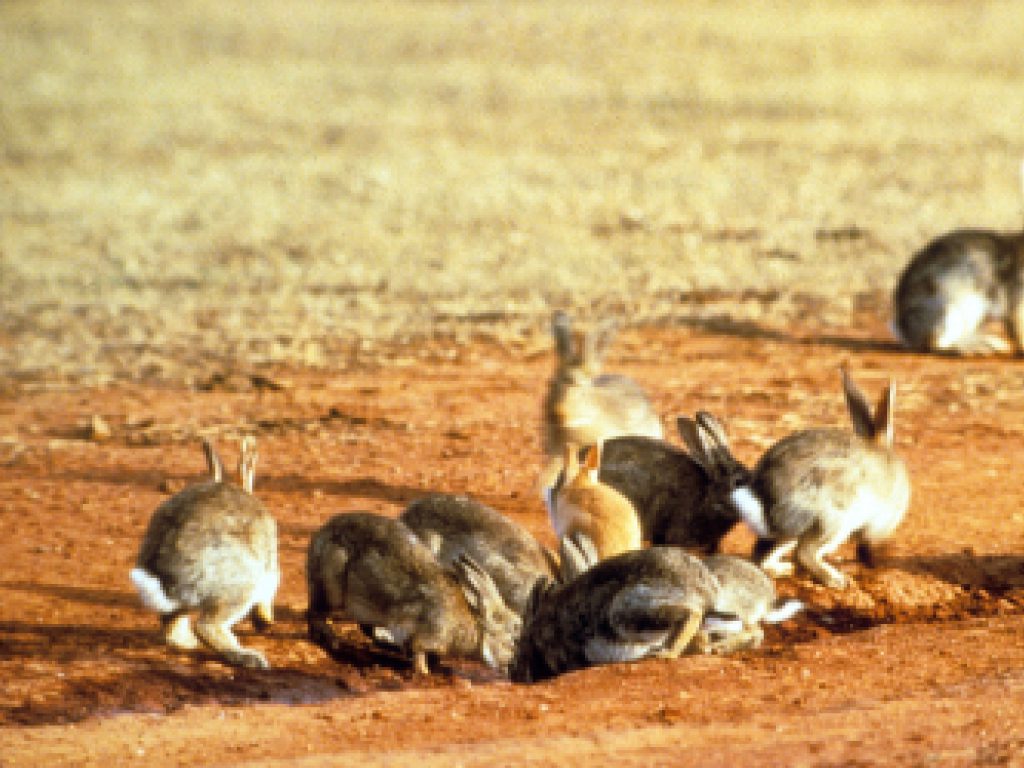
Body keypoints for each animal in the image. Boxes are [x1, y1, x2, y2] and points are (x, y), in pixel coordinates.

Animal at [130, 436, 279, 669]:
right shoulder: (270, 569)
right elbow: (268, 594)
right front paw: (265, 621)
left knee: (171, 627)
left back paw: (189, 643)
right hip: (241, 582)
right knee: (206, 626)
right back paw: (247, 656)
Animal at [306, 511, 521, 676]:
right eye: (512, 641)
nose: (512, 670)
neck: (474, 621)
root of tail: (320, 536)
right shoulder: (429, 633)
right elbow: (419, 652)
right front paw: (424, 674)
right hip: (332, 585)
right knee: (315, 613)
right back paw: (333, 641)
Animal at [511, 543, 721, 683]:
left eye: (516, 643)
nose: (514, 674)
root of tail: (705, 585)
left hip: (624, 611)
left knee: (690, 614)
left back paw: (664, 654)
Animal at [730, 368, 911, 589]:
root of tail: (764, 500)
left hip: (792, 533)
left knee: (762, 558)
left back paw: (784, 569)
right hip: (834, 519)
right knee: (804, 553)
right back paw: (836, 580)